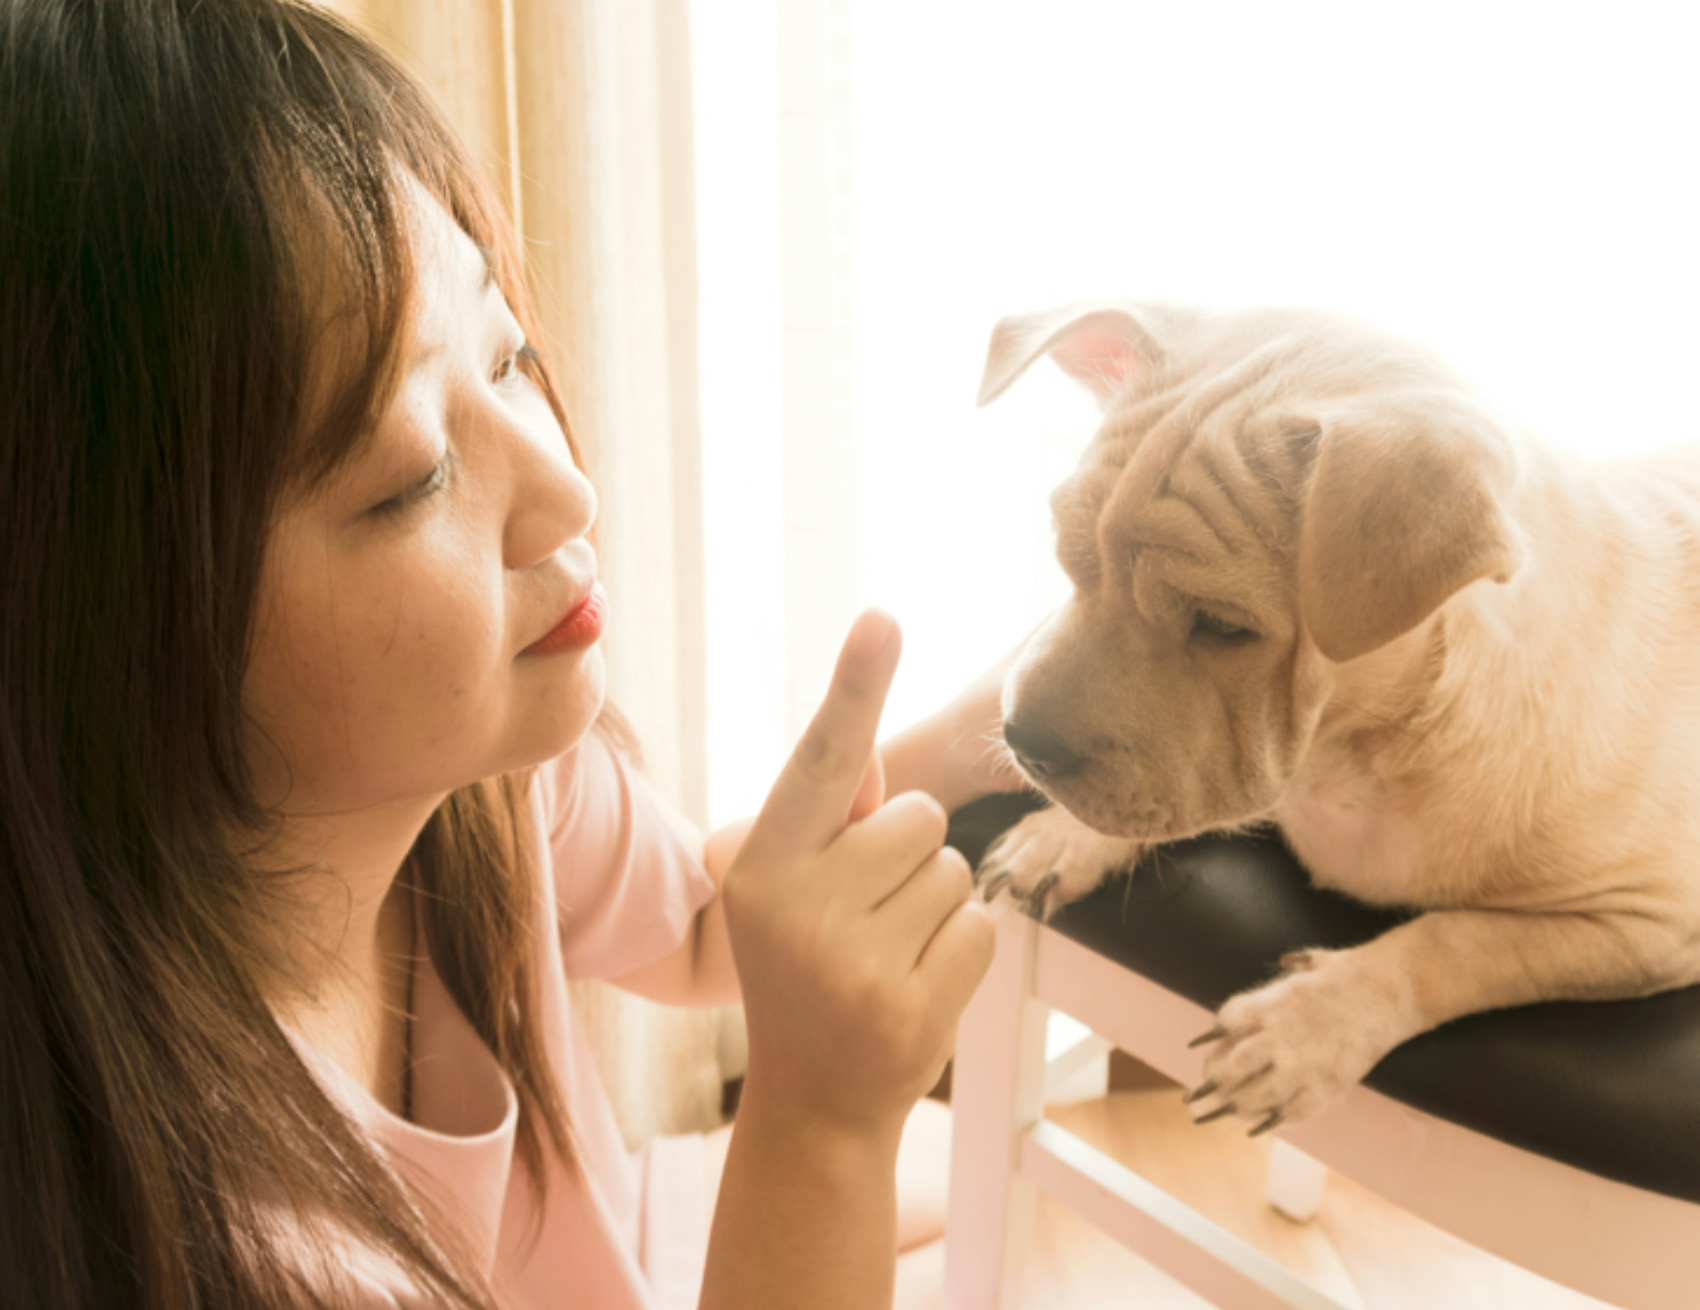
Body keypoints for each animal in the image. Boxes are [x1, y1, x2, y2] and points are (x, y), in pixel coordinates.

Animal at [972, 302, 1700, 1134]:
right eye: (1066, 560)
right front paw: (1064, 836)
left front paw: (1305, 1026)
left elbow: (1462, 943)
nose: (1024, 742)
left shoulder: (1647, 924)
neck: (1365, 747)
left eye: (1222, 626)